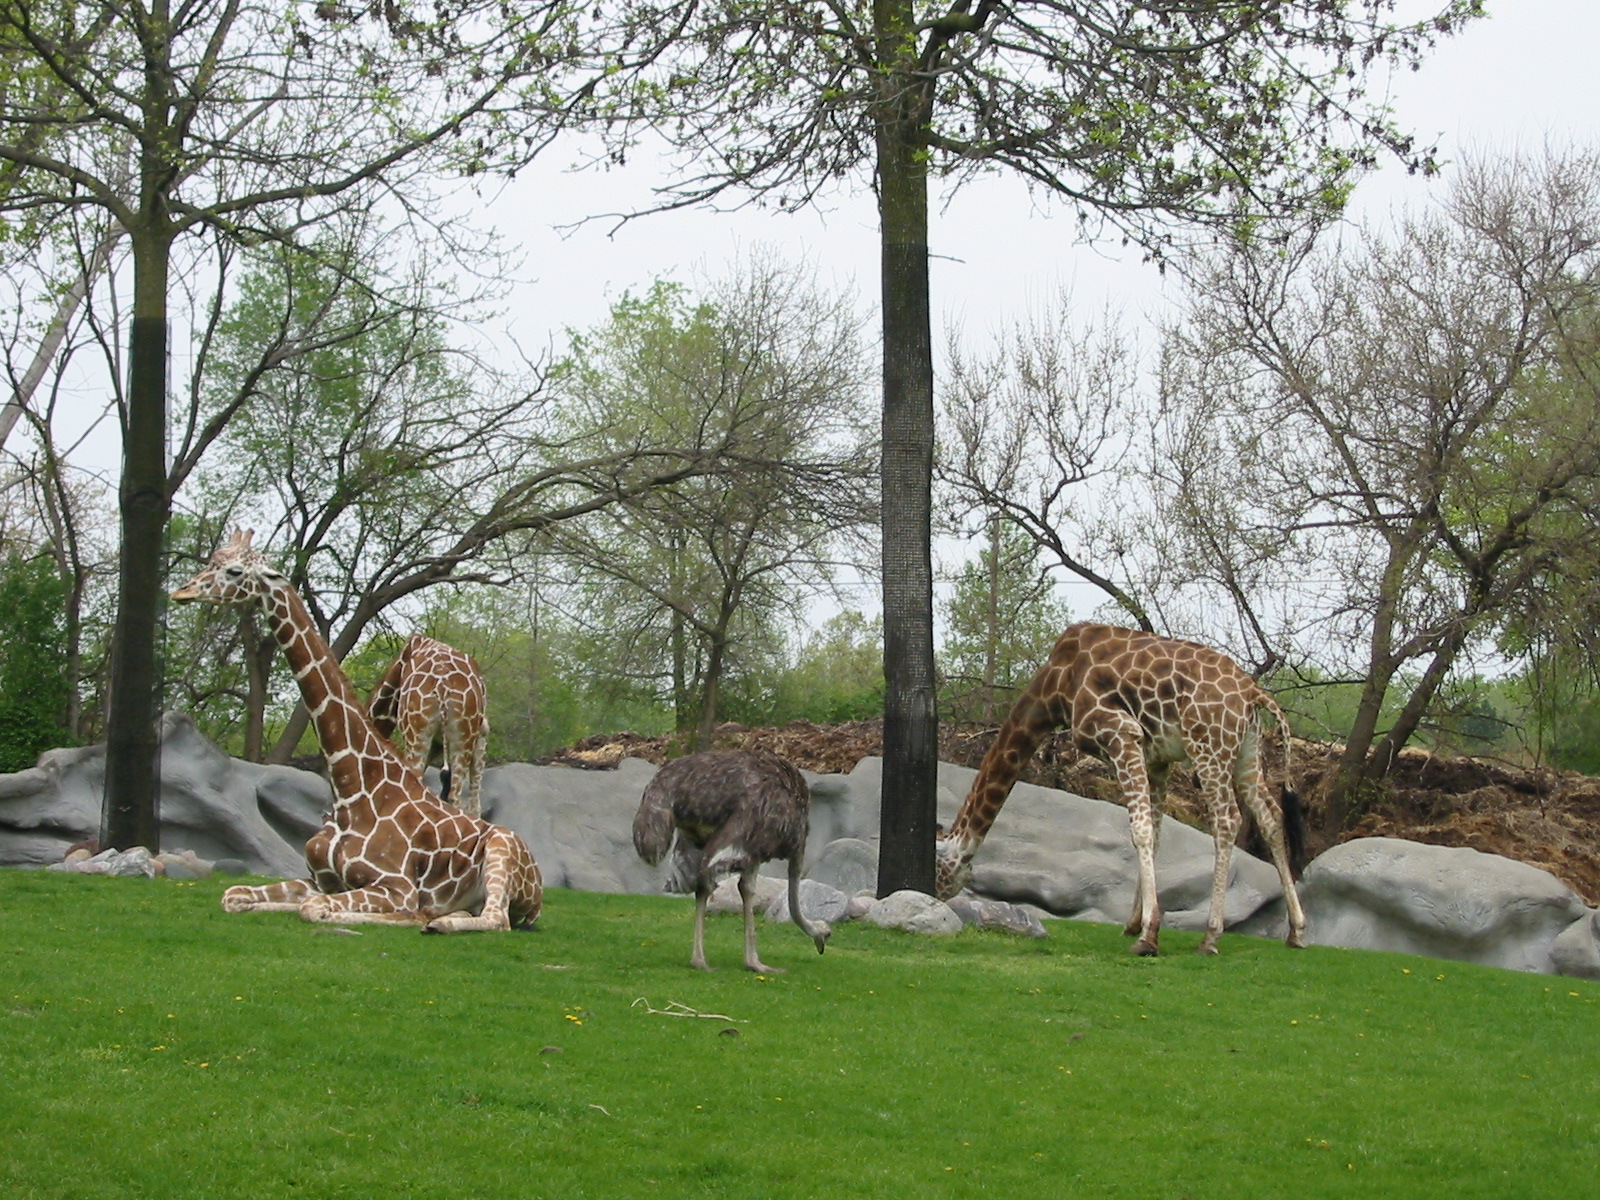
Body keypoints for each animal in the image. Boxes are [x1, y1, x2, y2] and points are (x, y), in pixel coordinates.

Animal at [933, 622, 1307, 956]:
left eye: (937, 867)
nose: (936, 897)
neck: (1055, 685)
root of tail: (1252, 692)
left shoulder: (1120, 733)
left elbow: (1139, 830)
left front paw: (1148, 935)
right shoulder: (1156, 759)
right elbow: (1156, 833)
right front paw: (1134, 924)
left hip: (1209, 746)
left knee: (1227, 820)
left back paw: (1210, 937)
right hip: (1246, 751)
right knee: (1270, 817)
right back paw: (1296, 931)